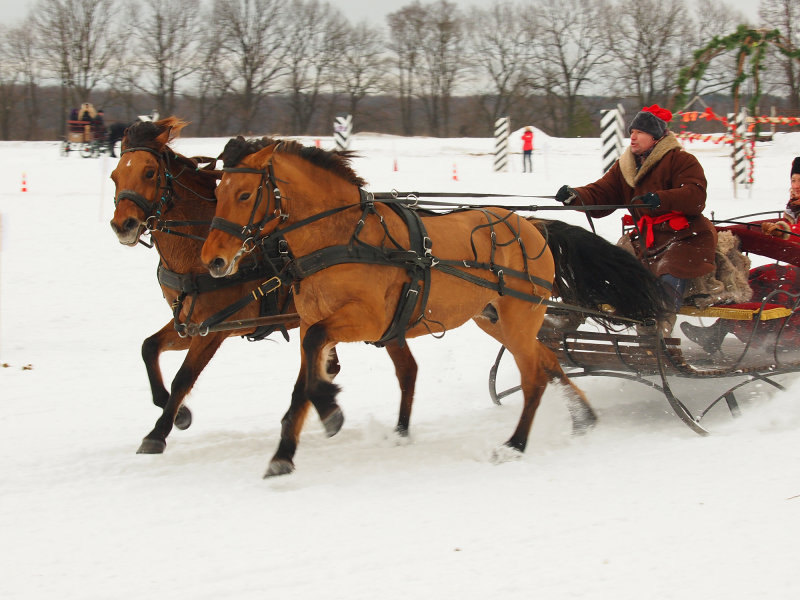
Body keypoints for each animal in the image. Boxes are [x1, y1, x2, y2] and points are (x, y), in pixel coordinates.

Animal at [109, 118, 418, 454]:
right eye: (115, 176)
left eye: (149, 172)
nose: (122, 225)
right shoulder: (192, 323)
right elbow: (148, 347)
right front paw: (177, 412)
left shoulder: (215, 328)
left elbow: (183, 377)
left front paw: (158, 431)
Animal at [202, 137, 668, 478]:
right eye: (217, 193)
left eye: (245, 193)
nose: (213, 260)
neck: (342, 235)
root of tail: (531, 225)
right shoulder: (313, 321)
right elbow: (303, 380)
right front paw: (284, 453)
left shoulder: (365, 321)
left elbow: (317, 359)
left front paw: (331, 409)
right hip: (495, 319)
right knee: (550, 361)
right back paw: (582, 418)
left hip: (519, 319)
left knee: (534, 376)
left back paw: (515, 444)